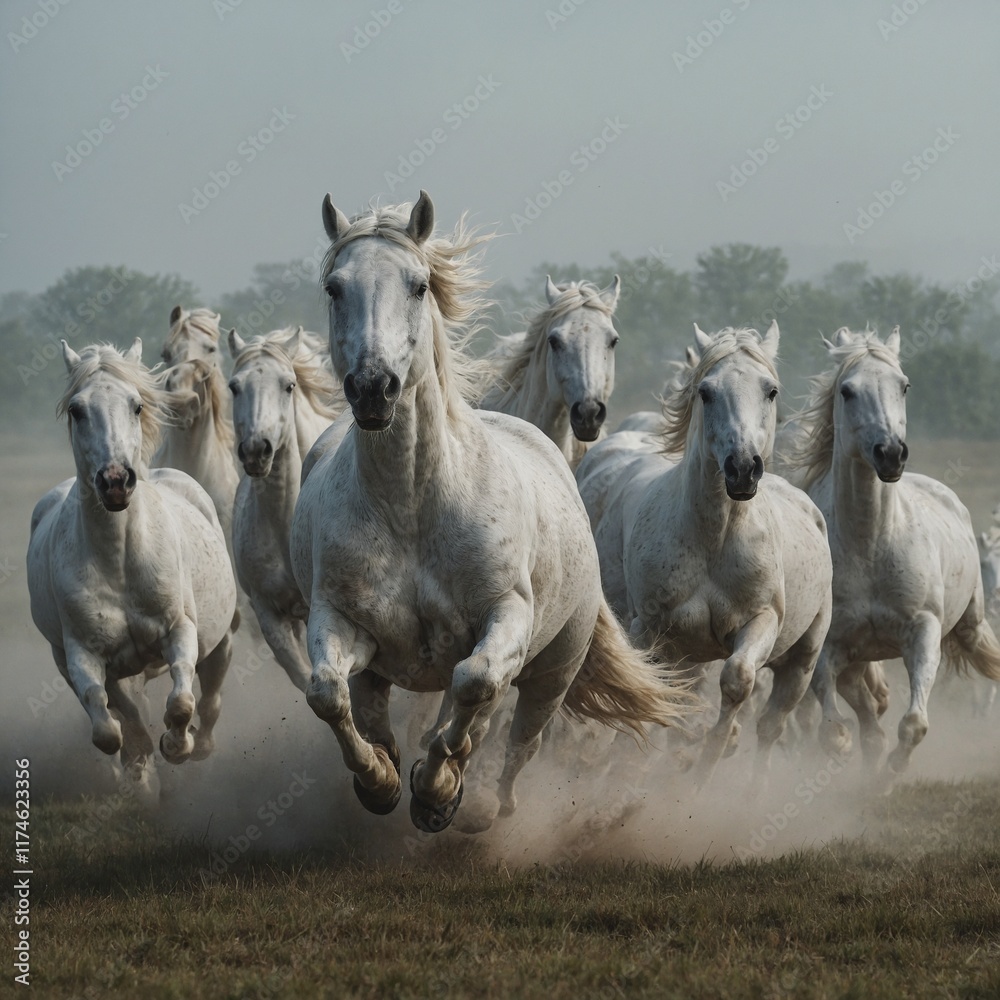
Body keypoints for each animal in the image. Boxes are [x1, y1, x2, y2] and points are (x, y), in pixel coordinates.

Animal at [26, 340, 237, 791]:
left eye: (136, 405)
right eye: (76, 410)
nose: (116, 481)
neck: (120, 560)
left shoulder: (179, 630)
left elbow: (181, 699)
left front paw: (176, 746)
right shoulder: (85, 654)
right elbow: (109, 722)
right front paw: (138, 755)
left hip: (221, 641)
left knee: (210, 696)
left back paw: (201, 744)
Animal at [618, 323, 833, 784]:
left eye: (771, 390)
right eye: (705, 391)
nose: (743, 468)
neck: (714, 538)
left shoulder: (760, 622)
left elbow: (737, 681)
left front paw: (702, 773)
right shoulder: (648, 626)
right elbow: (646, 691)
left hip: (802, 661)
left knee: (771, 726)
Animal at [783, 327, 1000, 774]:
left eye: (904, 386)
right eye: (847, 390)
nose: (891, 454)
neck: (871, 543)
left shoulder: (923, 633)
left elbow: (914, 723)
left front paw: (889, 774)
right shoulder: (830, 647)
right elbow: (837, 730)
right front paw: (860, 765)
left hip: (970, 623)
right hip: (857, 659)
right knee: (867, 715)